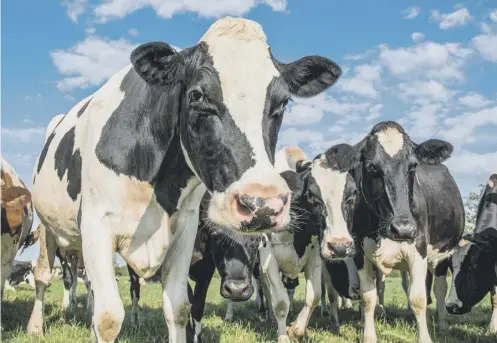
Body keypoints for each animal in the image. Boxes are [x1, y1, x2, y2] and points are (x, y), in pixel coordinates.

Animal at [26, 16, 340, 343]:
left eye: (282, 102)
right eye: (197, 95)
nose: (262, 204)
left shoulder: (185, 232)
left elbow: (178, 308)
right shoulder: (96, 225)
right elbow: (109, 318)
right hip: (48, 228)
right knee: (43, 275)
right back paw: (35, 326)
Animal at [316, 122, 464, 342]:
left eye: (413, 166)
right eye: (371, 166)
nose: (403, 228)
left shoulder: (419, 250)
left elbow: (418, 298)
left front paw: (425, 336)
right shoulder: (360, 253)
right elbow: (368, 297)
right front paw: (368, 335)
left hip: (442, 255)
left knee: (438, 288)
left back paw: (442, 324)